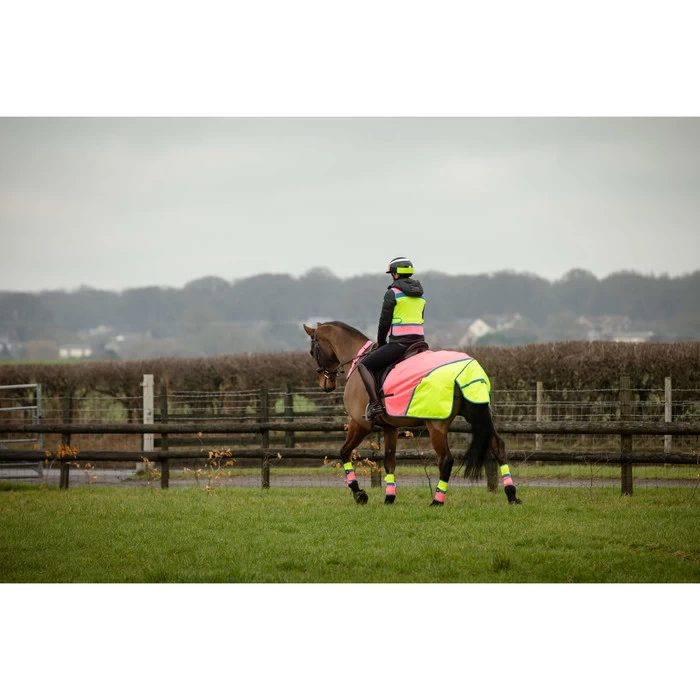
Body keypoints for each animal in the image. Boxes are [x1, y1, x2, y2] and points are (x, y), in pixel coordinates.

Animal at [303, 321, 522, 507]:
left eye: (313, 352)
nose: (325, 384)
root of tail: (468, 368)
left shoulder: (360, 423)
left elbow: (344, 452)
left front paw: (359, 494)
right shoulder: (390, 428)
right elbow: (389, 462)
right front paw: (389, 498)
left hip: (436, 425)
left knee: (446, 459)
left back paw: (437, 501)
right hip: (478, 415)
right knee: (497, 446)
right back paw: (511, 495)